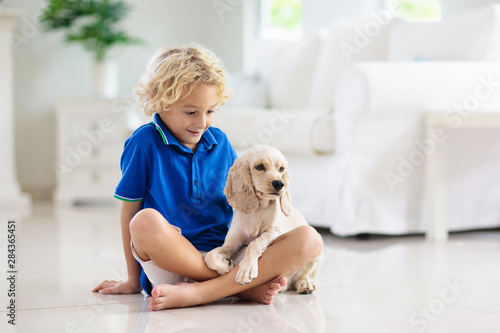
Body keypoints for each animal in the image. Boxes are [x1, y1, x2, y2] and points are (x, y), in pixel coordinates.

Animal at [204, 143, 324, 294]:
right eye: (260, 166)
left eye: (281, 169)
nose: (279, 184)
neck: (259, 208)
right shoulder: (231, 243)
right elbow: (210, 256)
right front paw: (225, 266)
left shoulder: (274, 232)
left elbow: (254, 244)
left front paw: (246, 269)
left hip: (318, 252)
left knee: (303, 274)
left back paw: (304, 284)